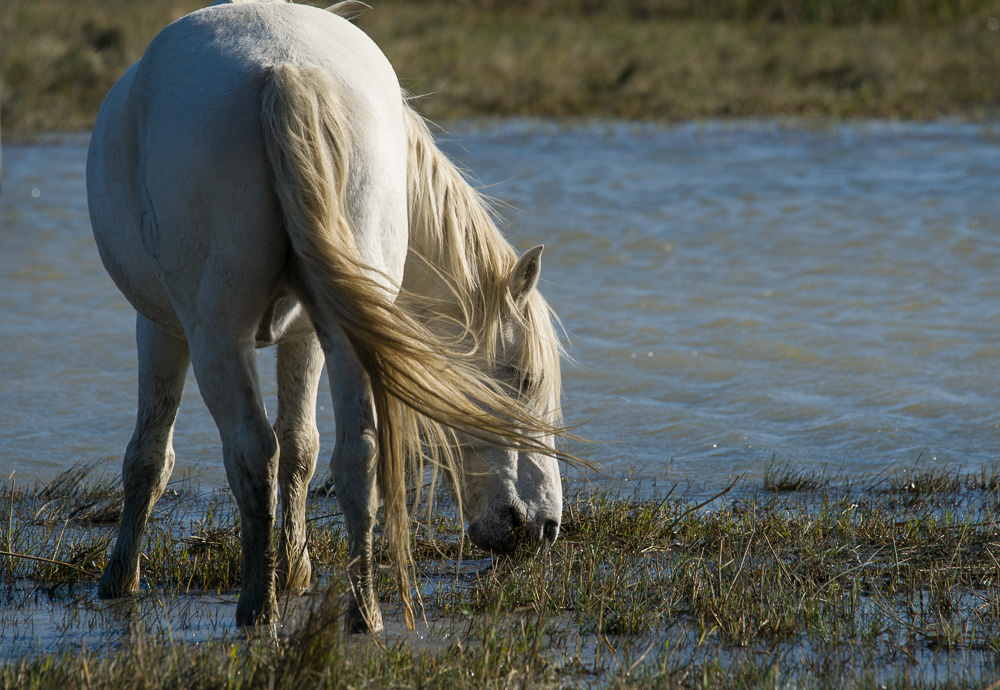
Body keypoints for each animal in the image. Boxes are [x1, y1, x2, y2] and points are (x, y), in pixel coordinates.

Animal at [88, 0, 572, 628]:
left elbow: (154, 457)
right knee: (354, 457)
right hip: (330, 334)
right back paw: (361, 611)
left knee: (252, 452)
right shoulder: (299, 335)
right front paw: (294, 571)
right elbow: (297, 449)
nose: (545, 528)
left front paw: (122, 581)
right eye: (525, 379)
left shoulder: (167, 327)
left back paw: (259, 607)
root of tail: (283, 69)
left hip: (218, 333)